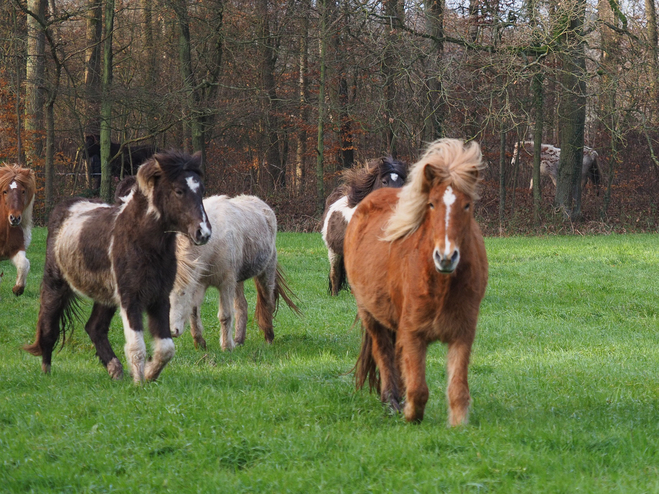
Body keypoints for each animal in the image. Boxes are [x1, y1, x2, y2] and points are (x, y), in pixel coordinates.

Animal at [0, 164, 36, 296]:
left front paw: (18, 289)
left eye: (23, 191)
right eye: (4, 191)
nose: (14, 218)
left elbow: (24, 264)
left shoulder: (16, 249)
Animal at [24, 151, 211, 382]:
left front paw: (149, 374)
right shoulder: (131, 298)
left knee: (94, 327)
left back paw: (115, 370)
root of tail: (64, 208)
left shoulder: (159, 297)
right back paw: (47, 372)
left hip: (105, 296)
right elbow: (137, 347)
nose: (203, 233)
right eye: (179, 190)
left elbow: (166, 349)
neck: (142, 240)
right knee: (49, 328)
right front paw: (139, 383)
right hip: (55, 285)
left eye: (202, 190)